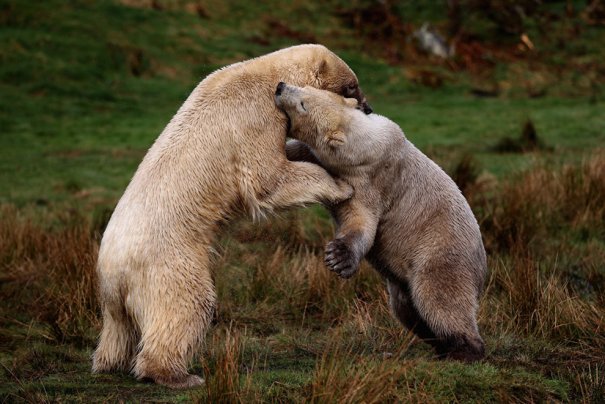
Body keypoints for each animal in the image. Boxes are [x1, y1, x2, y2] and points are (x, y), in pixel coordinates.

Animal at [92, 45, 370, 388]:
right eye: (351, 86)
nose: (369, 108)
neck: (265, 75)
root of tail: (112, 272)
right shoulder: (257, 116)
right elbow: (268, 177)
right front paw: (341, 187)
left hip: (115, 298)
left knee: (118, 330)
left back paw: (110, 362)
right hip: (170, 262)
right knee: (187, 304)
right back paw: (176, 374)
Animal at [278, 83, 486, 362]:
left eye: (303, 104)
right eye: (305, 88)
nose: (280, 87)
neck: (367, 144)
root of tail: (482, 269)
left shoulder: (371, 180)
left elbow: (362, 221)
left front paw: (338, 258)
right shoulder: (323, 159)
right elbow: (297, 153)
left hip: (442, 256)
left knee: (440, 300)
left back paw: (464, 349)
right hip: (406, 282)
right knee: (407, 308)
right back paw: (439, 345)